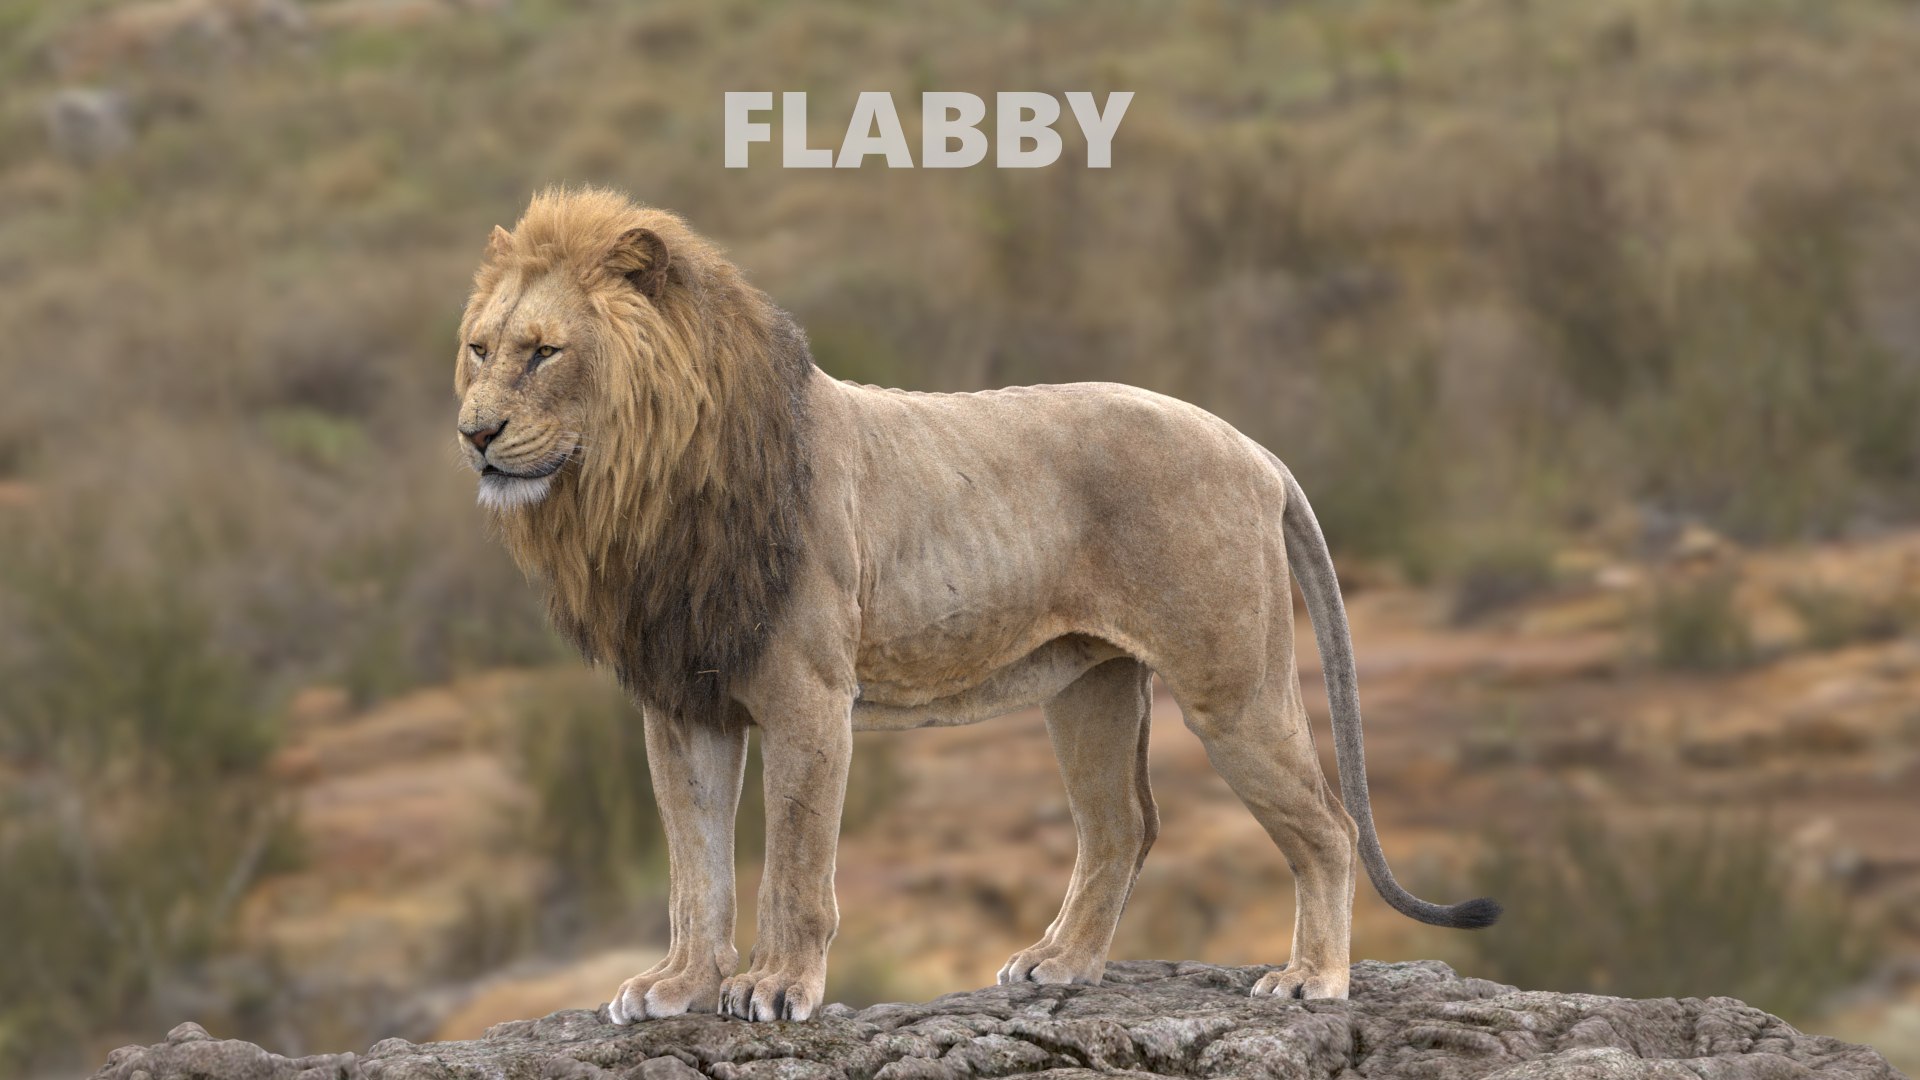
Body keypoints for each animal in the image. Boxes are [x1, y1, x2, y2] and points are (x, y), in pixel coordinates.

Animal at [455, 187, 1499, 1024]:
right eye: (478, 349)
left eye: (544, 354)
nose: (474, 433)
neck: (640, 490)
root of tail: (1252, 445)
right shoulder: (682, 705)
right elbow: (694, 867)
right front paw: (677, 986)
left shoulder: (807, 696)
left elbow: (794, 863)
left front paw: (777, 987)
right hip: (1090, 687)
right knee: (1122, 825)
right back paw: (1060, 965)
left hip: (1230, 685)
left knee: (1326, 825)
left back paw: (1312, 979)